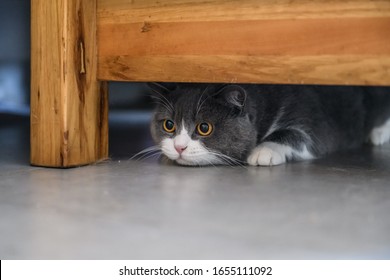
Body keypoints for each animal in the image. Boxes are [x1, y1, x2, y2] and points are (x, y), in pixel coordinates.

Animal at [146, 82, 390, 166]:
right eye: (169, 125)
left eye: (204, 128)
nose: (179, 147)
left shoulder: (315, 120)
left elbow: (300, 135)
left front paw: (263, 151)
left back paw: (378, 134)